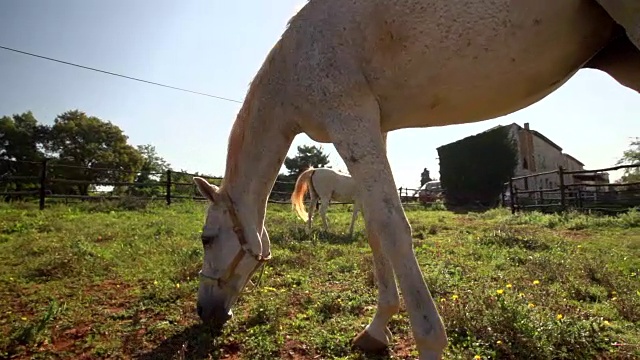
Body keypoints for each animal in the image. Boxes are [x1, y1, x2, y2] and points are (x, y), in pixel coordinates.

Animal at [190, 1, 640, 358]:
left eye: (207, 239)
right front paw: (376, 330)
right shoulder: (374, 128)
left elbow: (392, 228)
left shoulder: (350, 119)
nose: (204, 311)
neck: (298, 59)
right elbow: (374, 228)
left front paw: (427, 341)